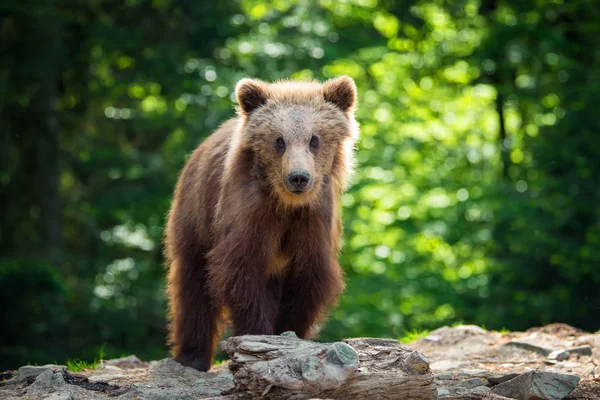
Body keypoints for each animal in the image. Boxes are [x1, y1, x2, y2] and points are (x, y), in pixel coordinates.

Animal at [164, 76, 358, 372]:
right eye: (279, 140)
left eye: (314, 139)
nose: (298, 177)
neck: (287, 205)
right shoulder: (249, 213)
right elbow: (242, 272)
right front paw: (258, 336)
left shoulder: (313, 221)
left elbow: (308, 277)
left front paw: (289, 334)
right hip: (196, 214)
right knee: (193, 283)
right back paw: (191, 356)